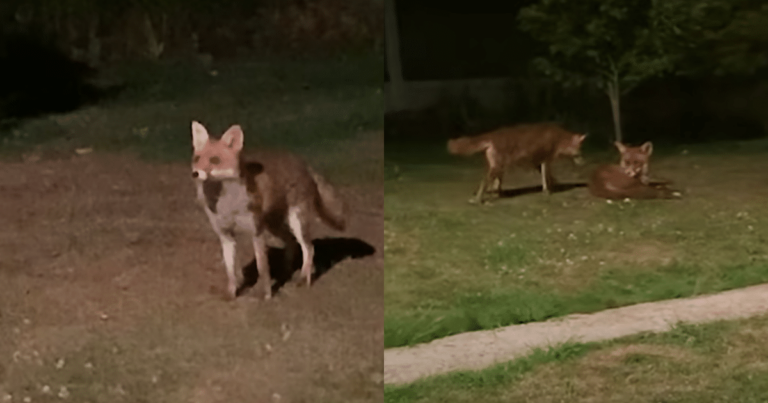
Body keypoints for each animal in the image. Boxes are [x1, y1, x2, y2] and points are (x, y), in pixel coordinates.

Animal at [190, 121, 346, 302]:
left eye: (215, 160)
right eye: (197, 159)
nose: (195, 173)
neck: (227, 205)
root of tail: (301, 162)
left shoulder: (256, 232)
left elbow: (262, 267)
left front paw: (265, 294)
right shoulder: (226, 236)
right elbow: (231, 272)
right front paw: (231, 294)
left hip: (295, 222)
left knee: (308, 247)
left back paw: (303, 279)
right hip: (274, 226)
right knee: (291, 242)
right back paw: (286, 273)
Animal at [444, 122, 588, 205]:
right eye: (580, 149)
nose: (584, 162)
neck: (558, 140)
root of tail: (493, 135)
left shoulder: (537, 162)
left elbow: (549, 177)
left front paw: (553, 185)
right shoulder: (544, 160)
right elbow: (546, 178)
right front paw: (548, 191)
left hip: (498, 168)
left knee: (494, 184)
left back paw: (496, 194)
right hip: (497, 167)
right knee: (485, 182)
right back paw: (479, 200)